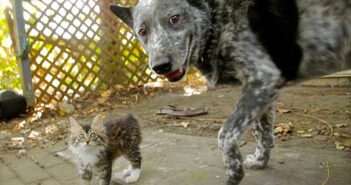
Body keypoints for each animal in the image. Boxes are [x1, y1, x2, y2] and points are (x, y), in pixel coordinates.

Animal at [108, 0, 350, 184]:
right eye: (142, 31)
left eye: (174, 18)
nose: (160, 66)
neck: (218, 17)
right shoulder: (264, 89)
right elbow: (263, 133)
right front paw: (260, 162)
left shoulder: (262, 79)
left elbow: (225, 134)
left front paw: (234, 172)